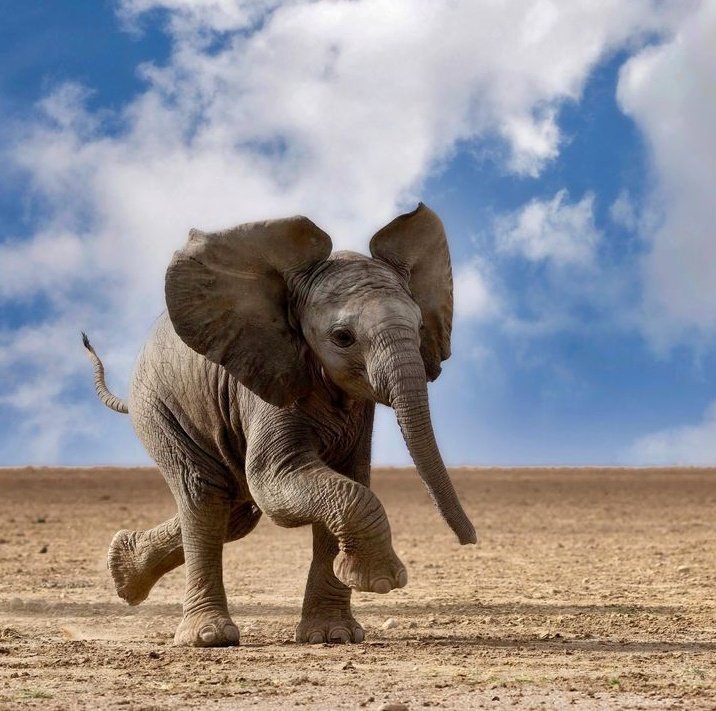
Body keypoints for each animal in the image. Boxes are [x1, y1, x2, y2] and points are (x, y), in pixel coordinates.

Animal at [84, 203, 476, 648]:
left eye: (420, 327)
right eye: (343, 337)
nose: (469, 540)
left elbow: (346, 479)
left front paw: (333, 636)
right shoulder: (267, 379)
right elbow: (280, 482)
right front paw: (378, 581)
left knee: (235, 512)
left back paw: (123, 571)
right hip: (159, 407)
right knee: (205, 496)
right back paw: (209, 637)